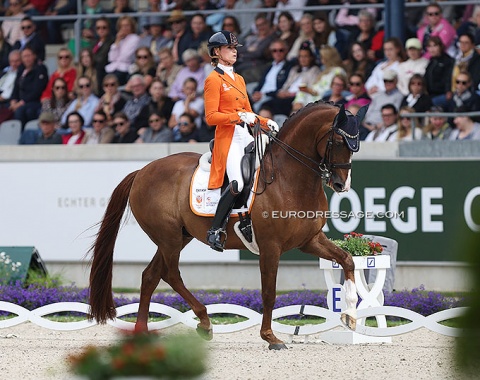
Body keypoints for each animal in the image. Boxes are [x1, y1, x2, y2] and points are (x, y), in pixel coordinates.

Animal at [89, 101, 364, 350]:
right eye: (339, 142)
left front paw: (350, 314)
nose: (342, 185)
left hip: (178, 237)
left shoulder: (310, 240)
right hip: (169, 238)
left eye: (356, 146)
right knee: (170, 274)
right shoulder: (270, 247)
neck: (289, 178)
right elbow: (269, 293)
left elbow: (347, 259)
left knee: (150, 276)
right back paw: (204, 322)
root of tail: (142, 171)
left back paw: (143, 333)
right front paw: (270, 337)